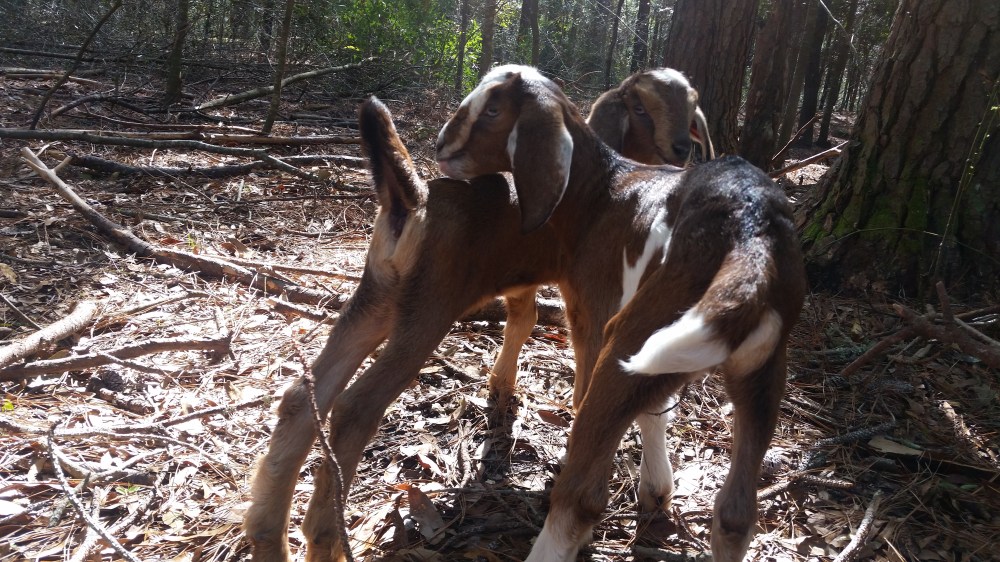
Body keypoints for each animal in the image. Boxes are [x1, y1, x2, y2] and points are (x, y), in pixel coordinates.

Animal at [435, 65, 805, 561]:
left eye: (493, 110)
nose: (441, 148)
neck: (599, 194)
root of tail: (753, 232)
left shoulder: (591, 314)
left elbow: (584, 402)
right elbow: (655, 411)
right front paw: (656, 491)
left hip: (631, 338)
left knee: (583, 495)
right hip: (761, 370)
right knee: (734, 515)